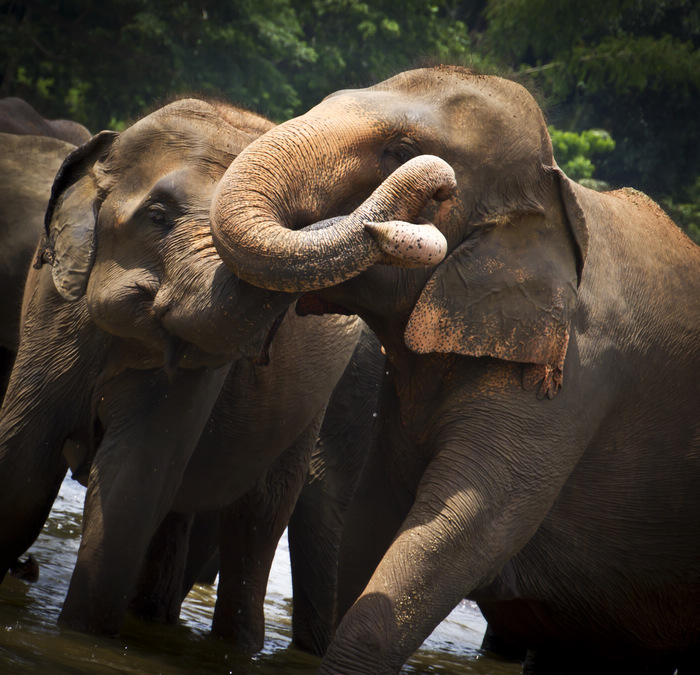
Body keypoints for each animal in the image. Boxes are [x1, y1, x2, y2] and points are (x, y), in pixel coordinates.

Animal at [0, 97, 378, 652]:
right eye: (157, 217)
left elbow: (132, 483)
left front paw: (81, 638)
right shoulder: (49, 304)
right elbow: (23, 460)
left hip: (310, 411)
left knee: (257, 522)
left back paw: (234, 645)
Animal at [208, 64, 700, 675]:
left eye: (400, 152)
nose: (435, 183)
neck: (555, 192)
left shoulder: (570, 386)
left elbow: (463, 532)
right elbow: (371, 522)